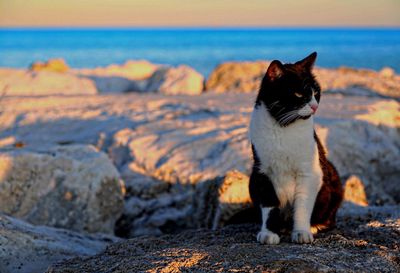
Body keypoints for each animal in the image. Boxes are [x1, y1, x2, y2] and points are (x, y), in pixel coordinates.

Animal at [248, 52, 342, 243]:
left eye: (316, 93)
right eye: (299, 94)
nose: (314, 106)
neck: (283, 127)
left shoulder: (309, 172)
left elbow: (302, 205)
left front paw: (301, 232)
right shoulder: (262, 172)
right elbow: (269, 205)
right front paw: (268, 233)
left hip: (333, 178)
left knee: (329, 217)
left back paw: (315, 226)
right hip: (251, 180)